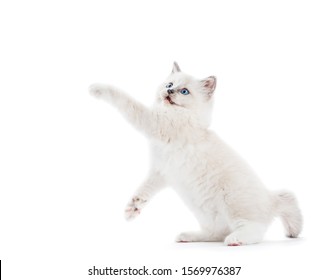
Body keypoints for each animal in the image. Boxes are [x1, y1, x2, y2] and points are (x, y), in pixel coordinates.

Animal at [89, 63, 302, 245]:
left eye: (184, 91)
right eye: (170, 84)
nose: (169, 91)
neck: (184, 117)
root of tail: (271, 199)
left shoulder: (153, 122)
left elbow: (124, 99)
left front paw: (96, 88)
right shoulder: (161, 171)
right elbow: (144, 190)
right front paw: (133, 208)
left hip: (234, 204)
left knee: (254, 231)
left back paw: (235, 240)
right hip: (207, 215)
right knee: (215, 233)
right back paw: (187, 236)